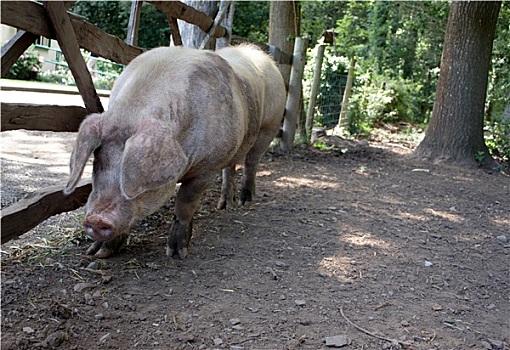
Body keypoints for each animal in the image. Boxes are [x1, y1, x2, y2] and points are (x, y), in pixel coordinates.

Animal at [63, 43, 286, 258]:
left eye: (134, 173)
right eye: (98, 160)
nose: (96, 220)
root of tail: (261, 55)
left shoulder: (208, 167)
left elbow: (185, 203)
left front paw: (177, 253)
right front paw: (96, 254)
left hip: (269, 127)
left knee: (251, 163)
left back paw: (244, 202)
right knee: (230, 169)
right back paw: (223, 206)